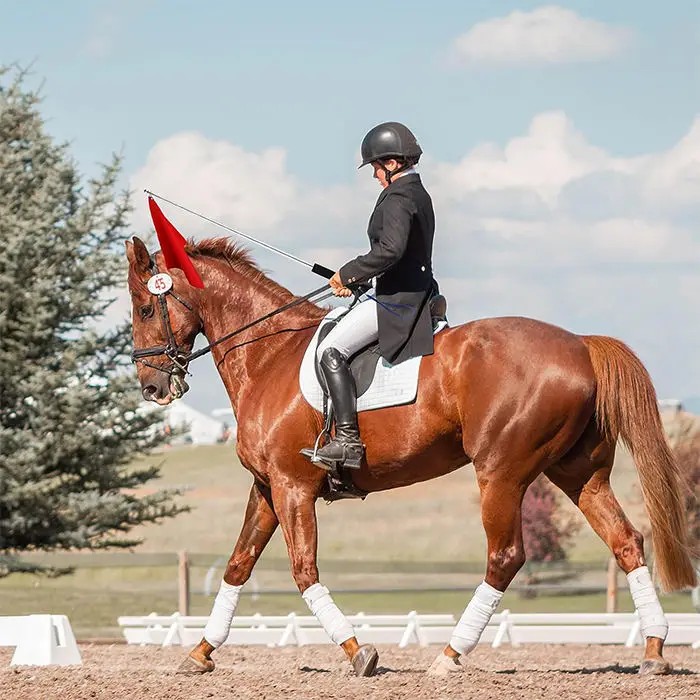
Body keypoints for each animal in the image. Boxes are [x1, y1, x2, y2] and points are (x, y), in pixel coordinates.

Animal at [125, 235, 696, 678]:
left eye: (146, 308)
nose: (152, 387)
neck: (268, 354)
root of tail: (580, 344)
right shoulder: (267, 487)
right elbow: (239, 564)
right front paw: (200, 653)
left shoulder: (293, 486)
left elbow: (303, 570)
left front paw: (359, 653)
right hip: (579, 474)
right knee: (626, 542)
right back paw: (653, 651)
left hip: (501, 473)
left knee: (505, 557)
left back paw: (450, 655)